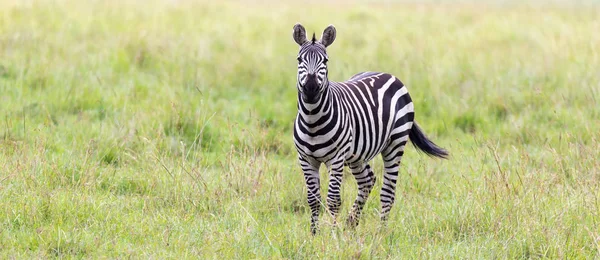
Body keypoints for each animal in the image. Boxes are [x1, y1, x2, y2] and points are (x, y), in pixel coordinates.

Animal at [292, 23, 448, 236]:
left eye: (325, 60)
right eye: (299, 59)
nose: (310, 87)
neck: (312, 119)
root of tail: (387, 74)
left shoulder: (337, 159)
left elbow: (333, 200)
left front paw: (332, 235)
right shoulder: (306, 159)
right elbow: (313, 200)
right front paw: (314, 235)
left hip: (395, 144)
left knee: (387, 193)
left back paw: (381, 233)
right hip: (356, 155)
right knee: (367, 181)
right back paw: (351, 222)